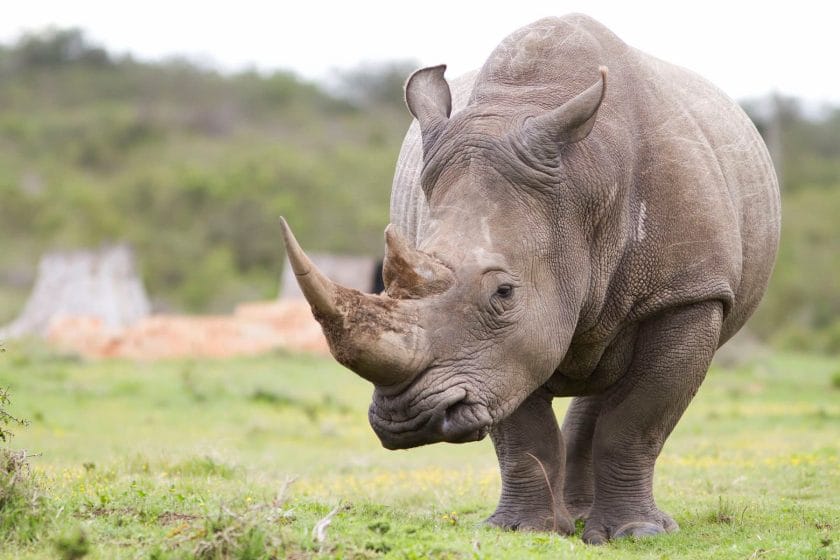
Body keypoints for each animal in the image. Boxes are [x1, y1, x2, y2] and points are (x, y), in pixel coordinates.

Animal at [282, 14, 780, 544]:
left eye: (504, 292)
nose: (407, 421)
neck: (583, 190)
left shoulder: (688, 293)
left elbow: (636, 420)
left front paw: (638, 534)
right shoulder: (494, 357)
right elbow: (522, 431)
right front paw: (522, 530)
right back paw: (576, 517)